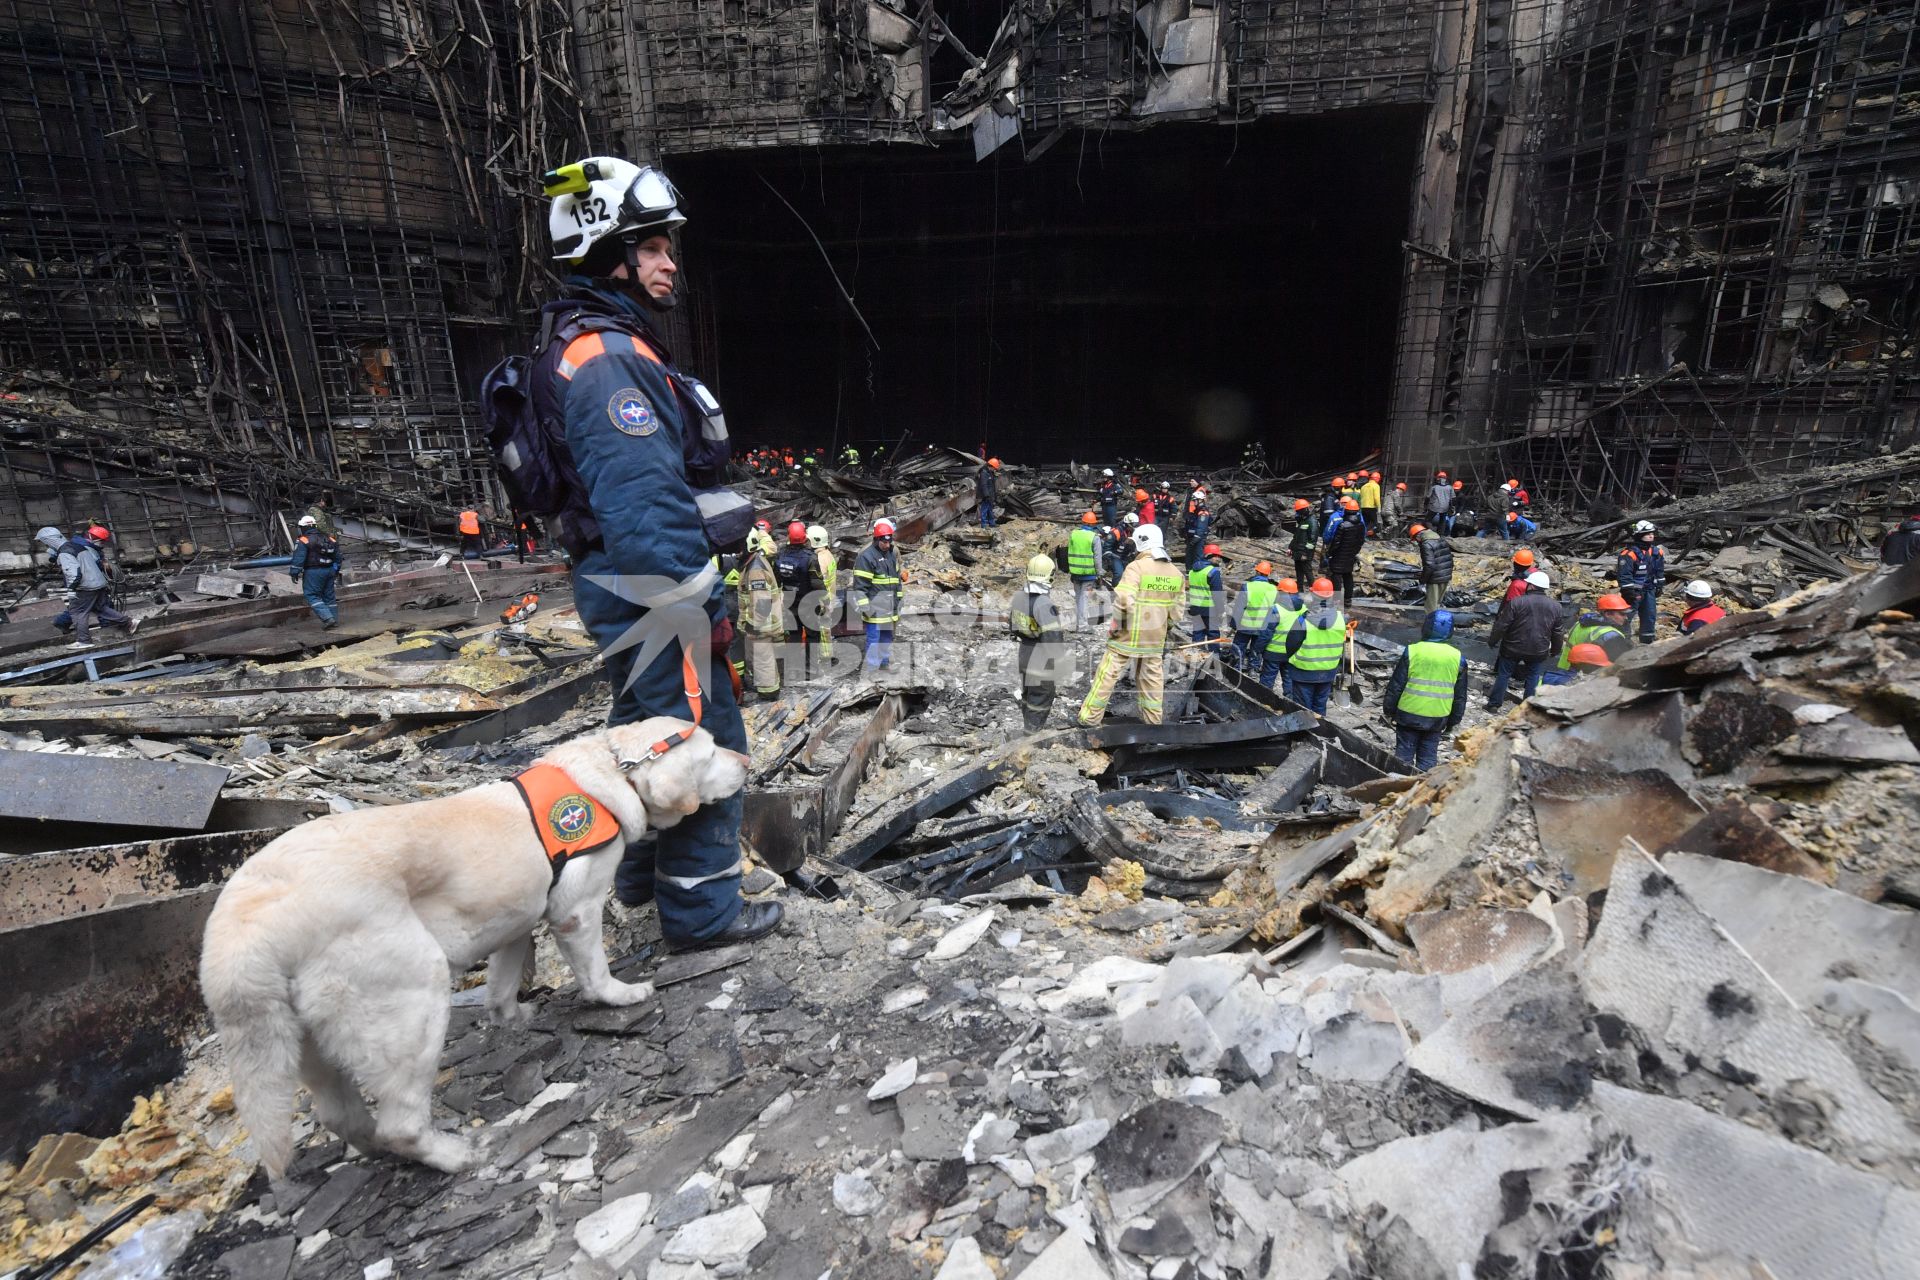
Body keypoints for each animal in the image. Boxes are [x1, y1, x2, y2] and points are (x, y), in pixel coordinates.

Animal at [200, 717, 741, 1174]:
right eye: (713, 752)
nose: (745, 759)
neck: (611, 774)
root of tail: (246, 923)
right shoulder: (576, 909)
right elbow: (593, 969)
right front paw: (619, 996)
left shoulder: (513, 918)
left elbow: (501, 983)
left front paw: (513, 1017)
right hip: (411, 994)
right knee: (401, 1121)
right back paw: (456, 1155)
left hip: (305, 1040)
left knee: (342, 1115)